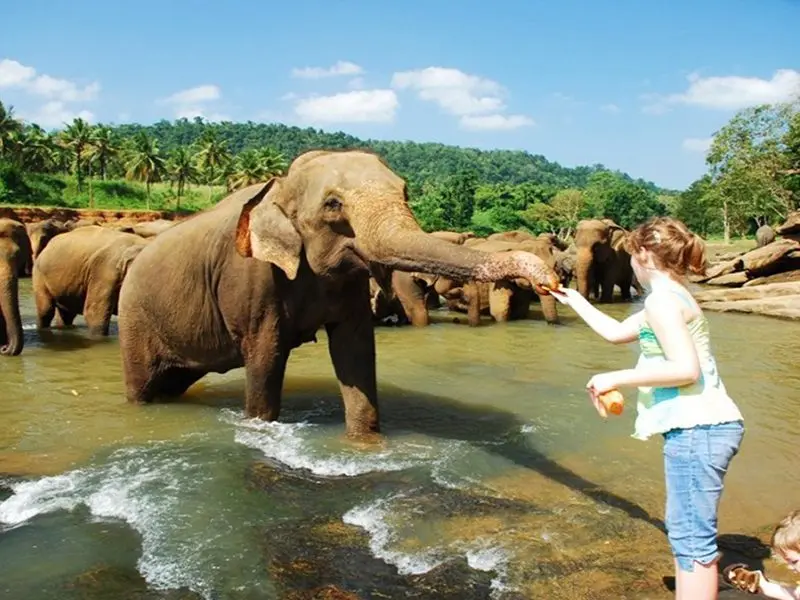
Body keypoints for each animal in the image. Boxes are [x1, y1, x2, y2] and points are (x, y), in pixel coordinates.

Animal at [116, 150, 560, 438]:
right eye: (333, 205)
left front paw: (365, 443)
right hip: (136, 319)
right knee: (143, 387)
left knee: (172, 383)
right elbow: (265, 356)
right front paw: (260, 428)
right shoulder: (253, 278)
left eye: (405, 193)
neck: (280, 185)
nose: (550, 278)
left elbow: (355, 351)